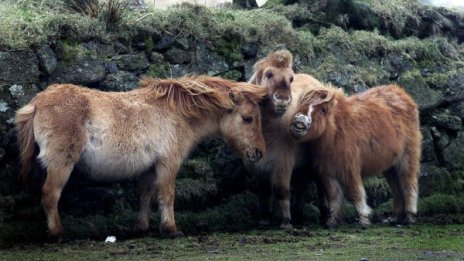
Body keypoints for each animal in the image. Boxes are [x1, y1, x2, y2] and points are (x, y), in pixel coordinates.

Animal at [15, 75, 268, 238]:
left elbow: (146, 196)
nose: (259, 153)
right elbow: (167, 195)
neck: (178, 112)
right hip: (61, 164)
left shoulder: (149, 169)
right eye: (247, 118)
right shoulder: (168, 164)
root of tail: (37, 102)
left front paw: (142, 228)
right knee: (50, 194)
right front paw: (171, 229)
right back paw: (58, 233)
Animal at [245, 49, 324, 228]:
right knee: (301, 185)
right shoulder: (257, 164)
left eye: (291, 78)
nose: (282, 99)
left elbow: (281, 190)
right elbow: (263, 191)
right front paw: (264, 219)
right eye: (269, 74)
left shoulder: (283, 160)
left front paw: (286, 221)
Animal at [292, 83, 422, 225]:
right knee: (396, 189)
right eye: (303, 103)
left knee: (409, 185)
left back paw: (409, 217)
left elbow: (355, 193)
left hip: (407, 158)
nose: (300, 120)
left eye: (323, 109)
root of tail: (401, 93)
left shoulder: (350, 169)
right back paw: (395, 218)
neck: (334, 132)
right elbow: (333, 196)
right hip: (390, 166)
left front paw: (364, 219)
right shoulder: (328, 172)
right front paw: (332, 221)